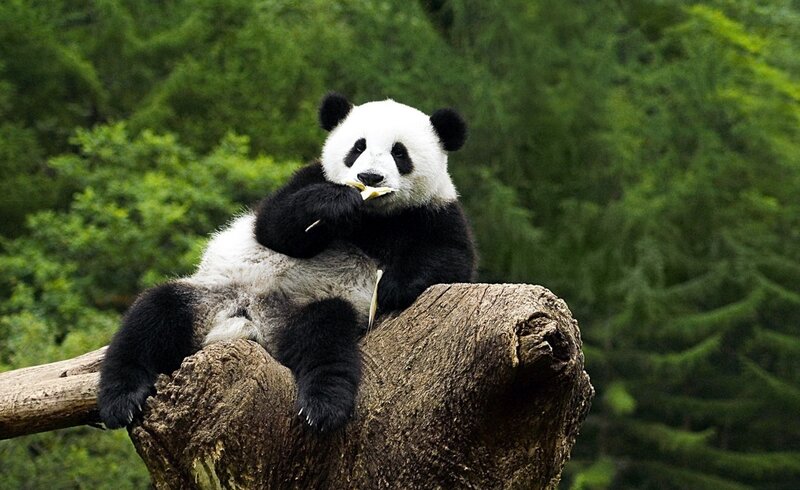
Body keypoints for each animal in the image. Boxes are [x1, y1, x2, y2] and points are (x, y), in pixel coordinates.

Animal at [98, 93, 477, 432]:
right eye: (357, 147)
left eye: (399, 153)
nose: (369, 178)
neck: (373, 217)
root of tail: (250, 320)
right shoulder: (308, 178)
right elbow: (273, 226)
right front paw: (334, 204)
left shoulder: (434, 211)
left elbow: (451, 259)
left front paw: (392, 287)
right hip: (210, 294)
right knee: (152, 317)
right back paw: (122, 399)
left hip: (308, 309)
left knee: (325, 339)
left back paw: (323, 406)